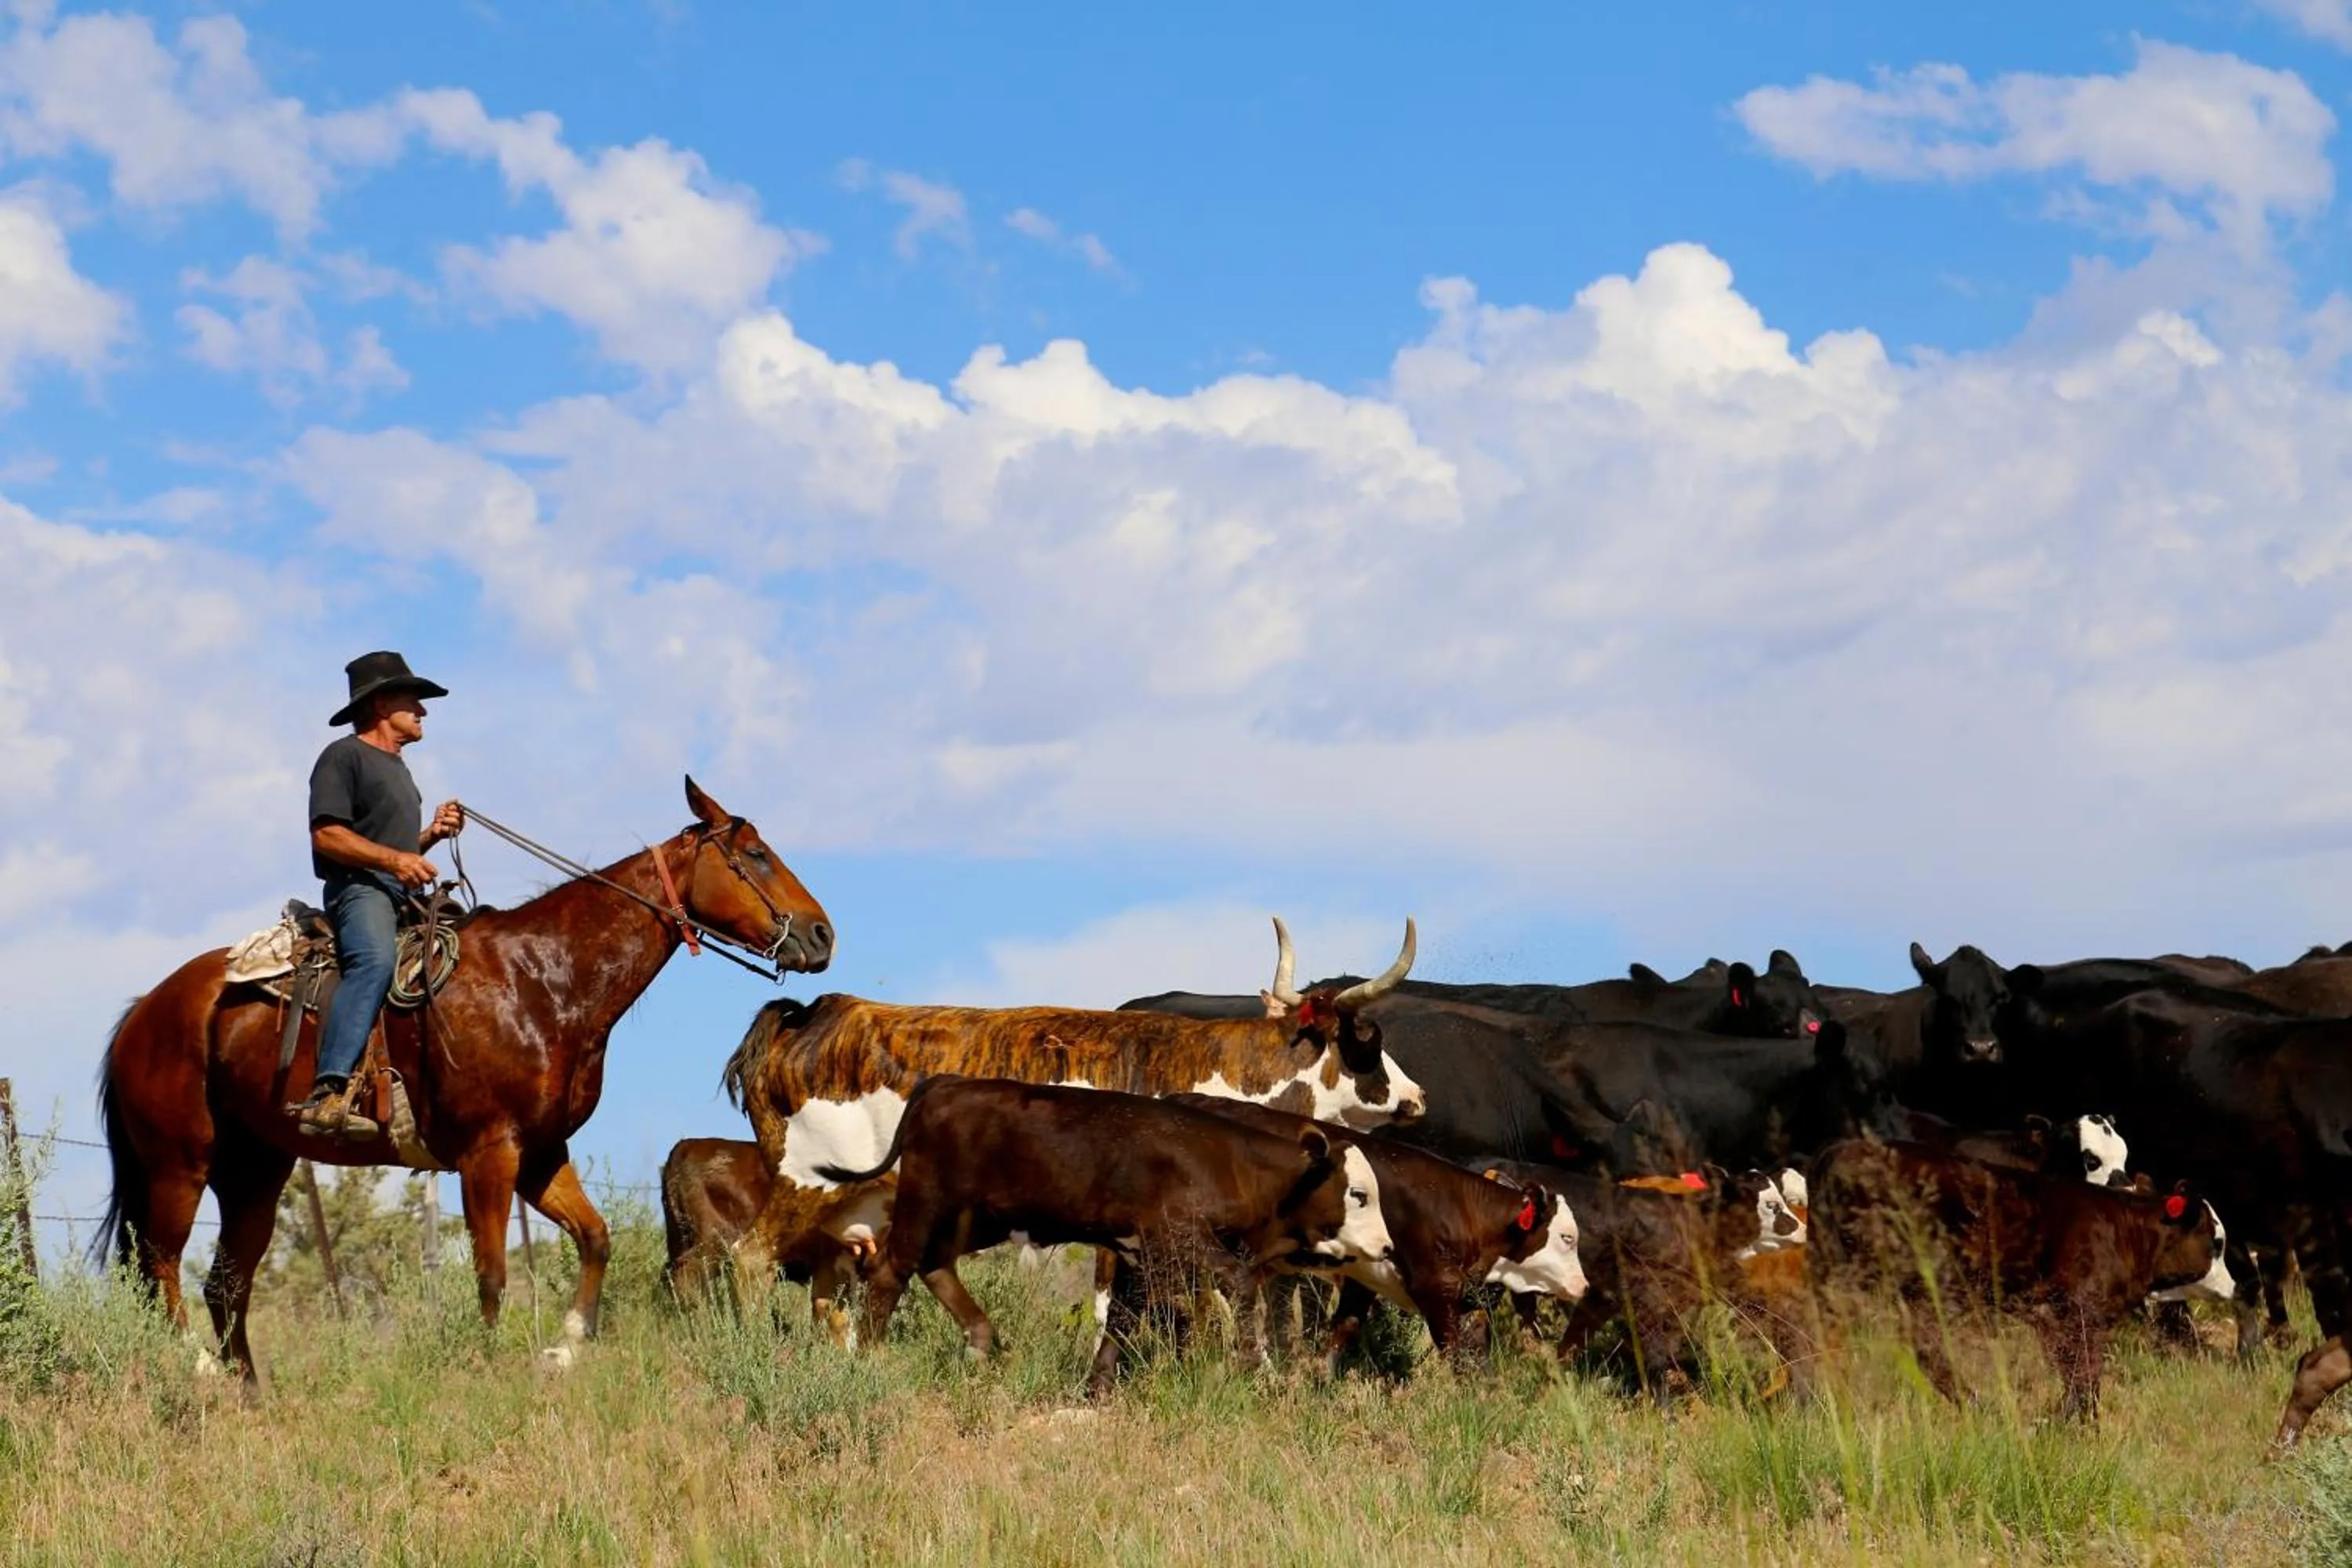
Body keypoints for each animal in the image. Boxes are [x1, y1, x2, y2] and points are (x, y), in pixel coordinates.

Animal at [93, 777, 833, 1381]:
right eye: (756, 854)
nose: (823, 935)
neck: (542, 981)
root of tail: (145, 1010)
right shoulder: (489, 1153)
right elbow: (492, 1273)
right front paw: (488, 1364)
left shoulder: (540, 1153)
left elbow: (595, 1237)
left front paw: (566, 1346)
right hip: (179, 1165)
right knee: (163, 1265)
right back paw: (200, 1369)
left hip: (256, 1171)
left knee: (226, 1283)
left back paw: (248, 1389)